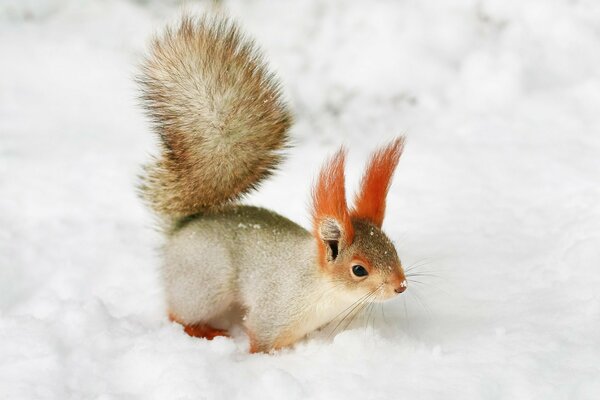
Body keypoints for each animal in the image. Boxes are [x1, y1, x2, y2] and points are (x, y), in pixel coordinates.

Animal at [138, 14, 408, 354]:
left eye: (392, 247)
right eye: (359, 269)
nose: (401, 285)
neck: (324, 289)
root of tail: (182, 228)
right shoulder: (274, 312)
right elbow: (260, 338)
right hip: (205, 283)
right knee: (178, 314)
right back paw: (205, 331)